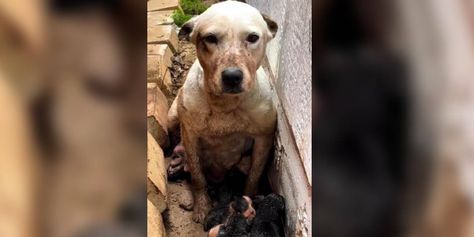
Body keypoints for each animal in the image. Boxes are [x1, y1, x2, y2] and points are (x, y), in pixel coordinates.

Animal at [167, 0, 278, 222]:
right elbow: (197, 176)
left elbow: (254, 176)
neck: (225, 105)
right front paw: (202, 206)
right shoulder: (190, 135)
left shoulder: (264, 138)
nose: (232, 76)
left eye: (252, 37)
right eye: (210, 38)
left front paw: (249, 200)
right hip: (172, 117)